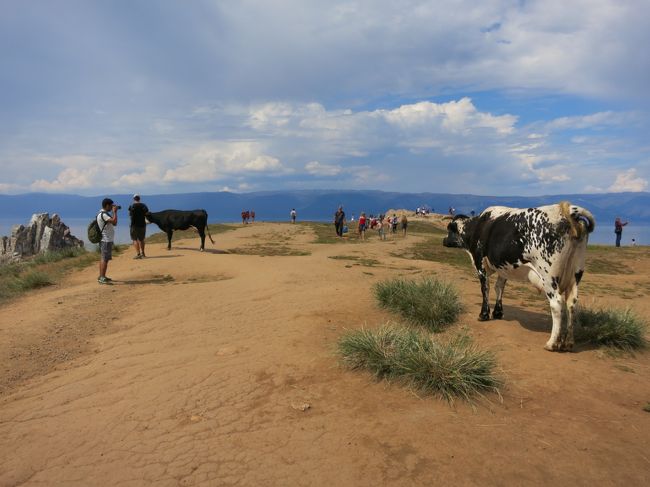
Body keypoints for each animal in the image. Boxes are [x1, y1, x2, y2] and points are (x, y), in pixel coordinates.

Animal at [440, 200, 592, 352]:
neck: (479, 226)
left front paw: (483, 315)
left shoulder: (480, 264)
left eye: (449, 229)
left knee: (557, 304)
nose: (443, 241)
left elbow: (485, 289)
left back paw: (552, 343)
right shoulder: (503, 268)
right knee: (571, 304)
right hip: (575, 275)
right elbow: (499, 288)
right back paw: (568, 342)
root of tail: (566, 212)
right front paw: (497, 313)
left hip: (549, 277)